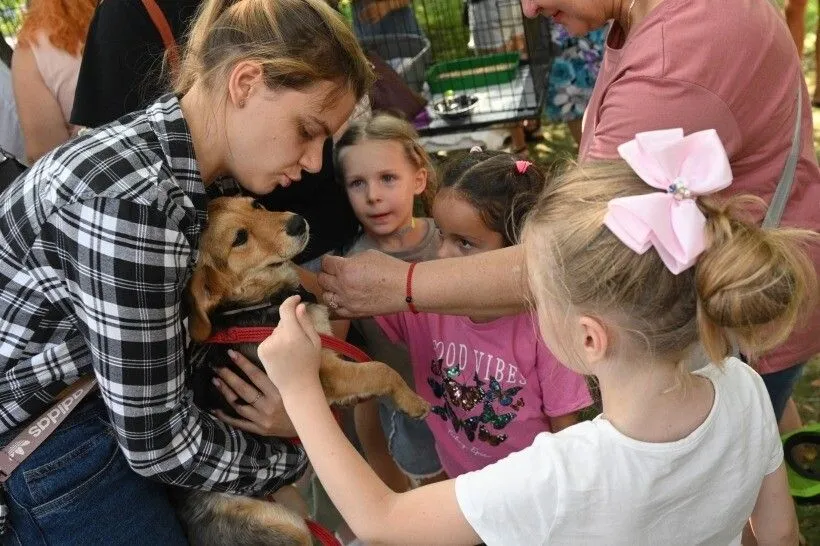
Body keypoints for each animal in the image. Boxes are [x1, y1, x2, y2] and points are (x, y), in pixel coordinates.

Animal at [177, 198, 432, 544]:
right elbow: (381, 369)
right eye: (239, 238)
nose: (298, 222)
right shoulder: (325, 371)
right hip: (288, 528)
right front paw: (412, 401)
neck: (265, 302)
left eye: (256, 204)